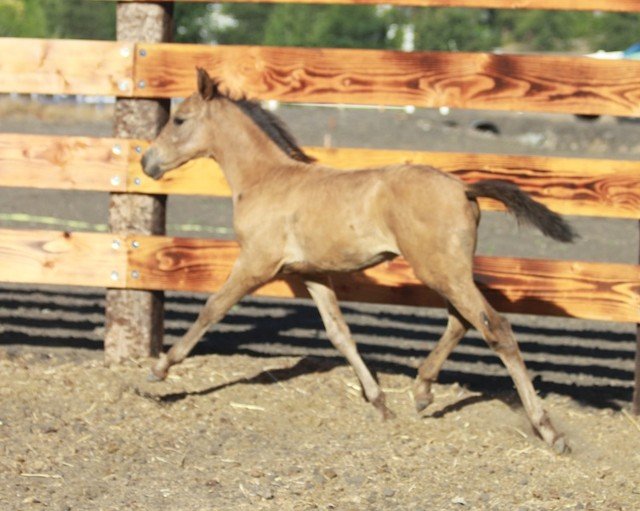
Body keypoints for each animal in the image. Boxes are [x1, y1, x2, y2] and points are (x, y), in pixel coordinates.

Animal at [142, 68, 576, 453]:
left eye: (179, 119)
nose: (147, 162)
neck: (266, 179)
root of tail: (463, 188)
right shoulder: (314, 274)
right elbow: (339, 333)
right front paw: (379, 402)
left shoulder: (256, 263)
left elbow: (212, 308)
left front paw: (160, 370)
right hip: (448, 271)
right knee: (462, 321)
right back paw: (421, 392)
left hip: (439, 270)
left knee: (494, 327)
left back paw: (549, 431)